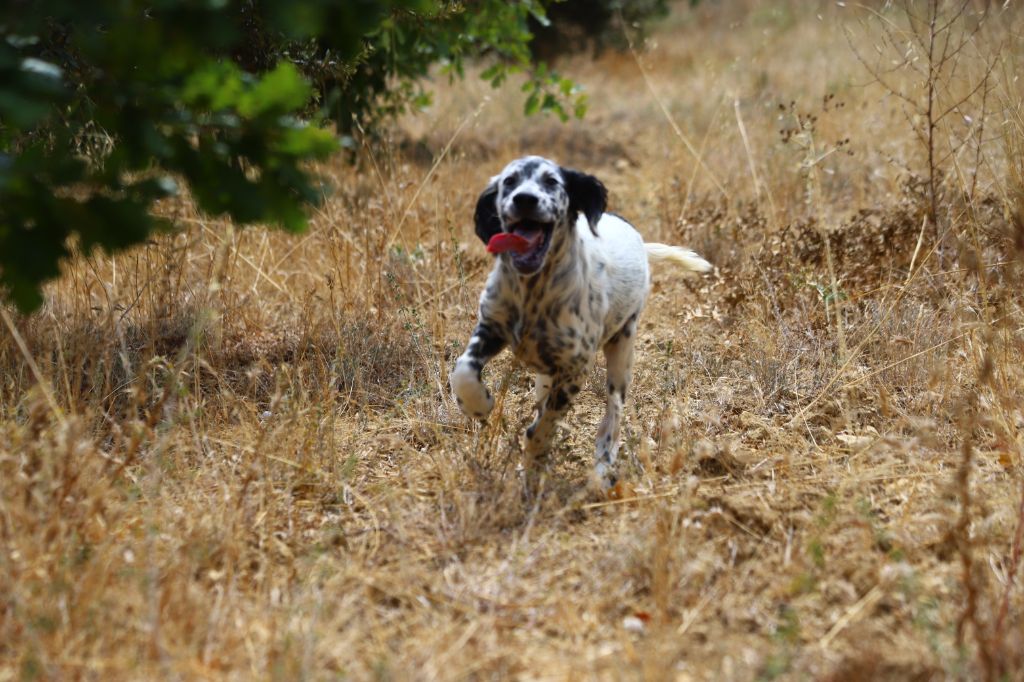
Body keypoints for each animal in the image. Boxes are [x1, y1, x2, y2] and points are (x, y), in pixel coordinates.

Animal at [452, 156, 708, 485]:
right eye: (509, 181)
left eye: (551, 181)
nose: (525, 199)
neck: (534, 290)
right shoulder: (491, 327)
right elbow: (463, 369)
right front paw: (477, 404)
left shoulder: (576, 369)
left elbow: (542, 427)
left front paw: (533, 464)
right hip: (546, 375)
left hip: (622, 350)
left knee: (613, 413)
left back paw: (602, 467)